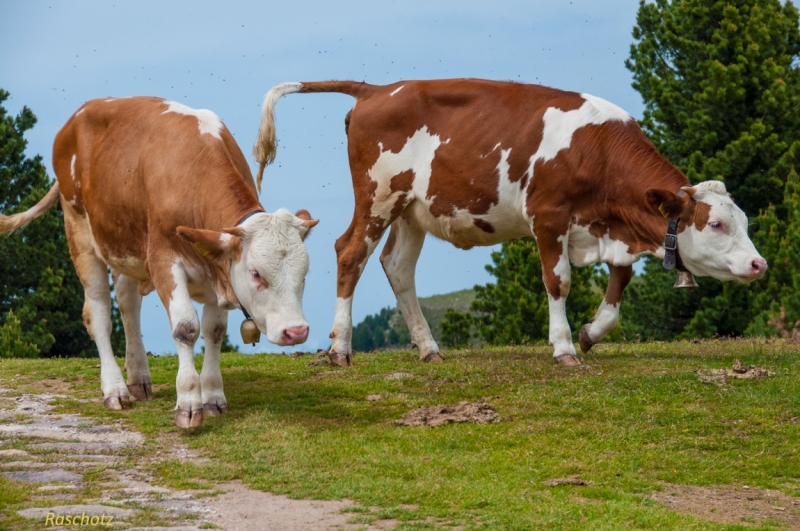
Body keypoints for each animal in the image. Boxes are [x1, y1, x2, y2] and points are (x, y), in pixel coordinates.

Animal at [0, 96, 318, 428]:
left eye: (305, 274)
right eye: (256, 273)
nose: (296, 332)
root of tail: (79, 115)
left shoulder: (216, 267)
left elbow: (214, 331)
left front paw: (213, 396)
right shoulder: (163, 260)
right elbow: (185, 328)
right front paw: (188, 402)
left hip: (125, 244)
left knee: (127, 303)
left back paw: (138, 377)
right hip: (80, 232)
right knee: (98, 314)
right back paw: (114, 389)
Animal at [253, 79, 764, 368]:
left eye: (743, 219)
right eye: (716, 225)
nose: (759, 264)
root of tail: (376, 90)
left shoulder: (610, 229)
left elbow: (618, 288)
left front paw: (590, 334)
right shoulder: (549, 215)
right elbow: (558, 281)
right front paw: (564, 348)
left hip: (413, 208)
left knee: (397, 267)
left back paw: (428, 347)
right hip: (379, 196)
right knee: (351, 253)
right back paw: (340, 349)